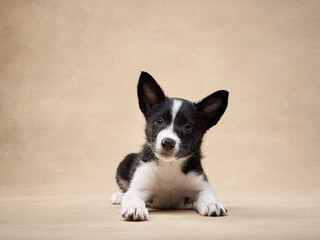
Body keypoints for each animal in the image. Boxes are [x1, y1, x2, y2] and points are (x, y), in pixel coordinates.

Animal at [111, 71, 229, 221]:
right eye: (159, 121)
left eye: (187, 127)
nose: (168, 142)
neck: (170, 166)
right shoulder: (139, 188)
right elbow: (132, 196)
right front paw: (135, 207)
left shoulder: (201, 185)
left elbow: (206, 195)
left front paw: (211, 204)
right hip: (124, 163)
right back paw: (120, 195)